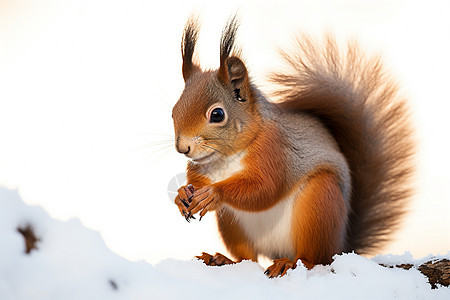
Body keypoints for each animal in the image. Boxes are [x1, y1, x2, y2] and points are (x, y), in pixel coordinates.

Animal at [171, 16, 414, 278]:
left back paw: (291, 263)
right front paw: (182, 194)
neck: (226, 157)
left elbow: (265, 187)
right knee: (248, 258)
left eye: (217, 114)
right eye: (174, 111)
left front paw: (214, 193)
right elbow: (197, 181)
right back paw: (223, 260)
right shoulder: (202, 167)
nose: (182, 148)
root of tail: (341, 246)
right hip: (233, 225)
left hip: (319, 205)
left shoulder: (275, 149)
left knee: (315, 258)